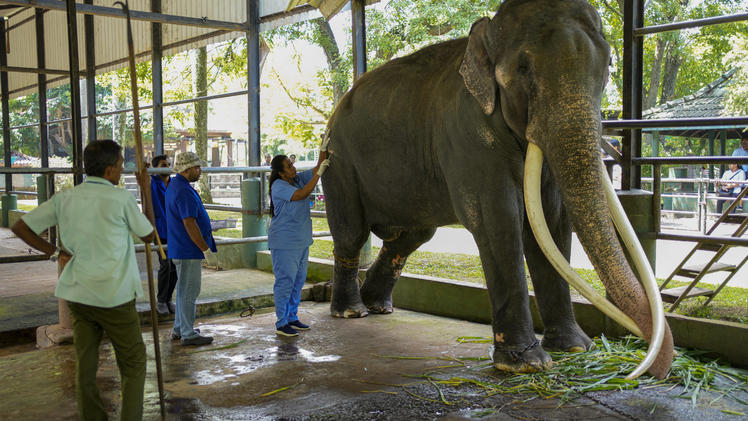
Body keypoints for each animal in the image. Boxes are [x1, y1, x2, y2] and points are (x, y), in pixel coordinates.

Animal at [320, 0, 672, 378]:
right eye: (523, 68)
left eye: (607, 65)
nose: (648, 369)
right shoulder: (467, 133)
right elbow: (498, 219)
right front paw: (526, 365)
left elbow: (552, 221)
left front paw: (575, 347)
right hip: (338, 164)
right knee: (351, 233)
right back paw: (351, 312)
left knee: (412, 236)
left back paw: (377, 306)